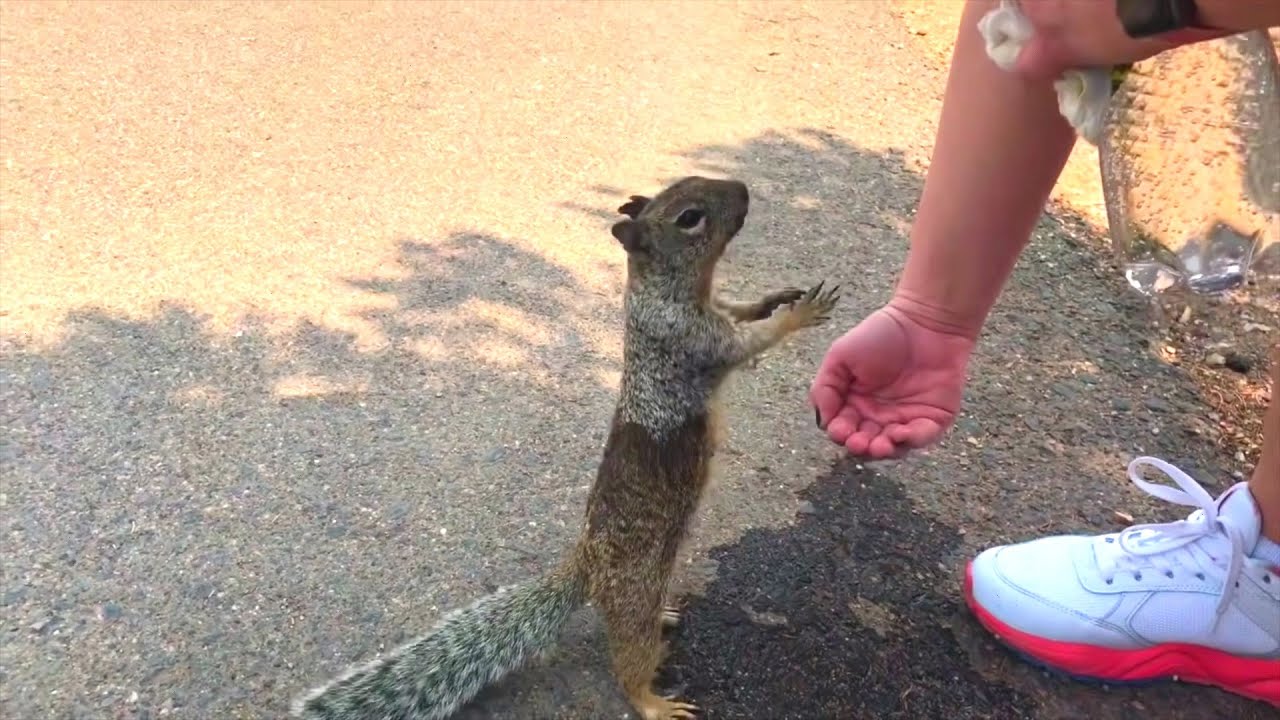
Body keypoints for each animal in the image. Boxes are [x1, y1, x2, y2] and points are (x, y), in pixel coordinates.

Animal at [291, 176, 841, 720]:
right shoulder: (691, 340)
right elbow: (749, 342)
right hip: (635, 597)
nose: (744, 189)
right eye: (690, 217)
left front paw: (774, 297)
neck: (671, 291)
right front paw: (800, 313)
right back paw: (654, 702)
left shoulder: (714, 311)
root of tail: (589, 565)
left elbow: (741, 310)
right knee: (629, 664)